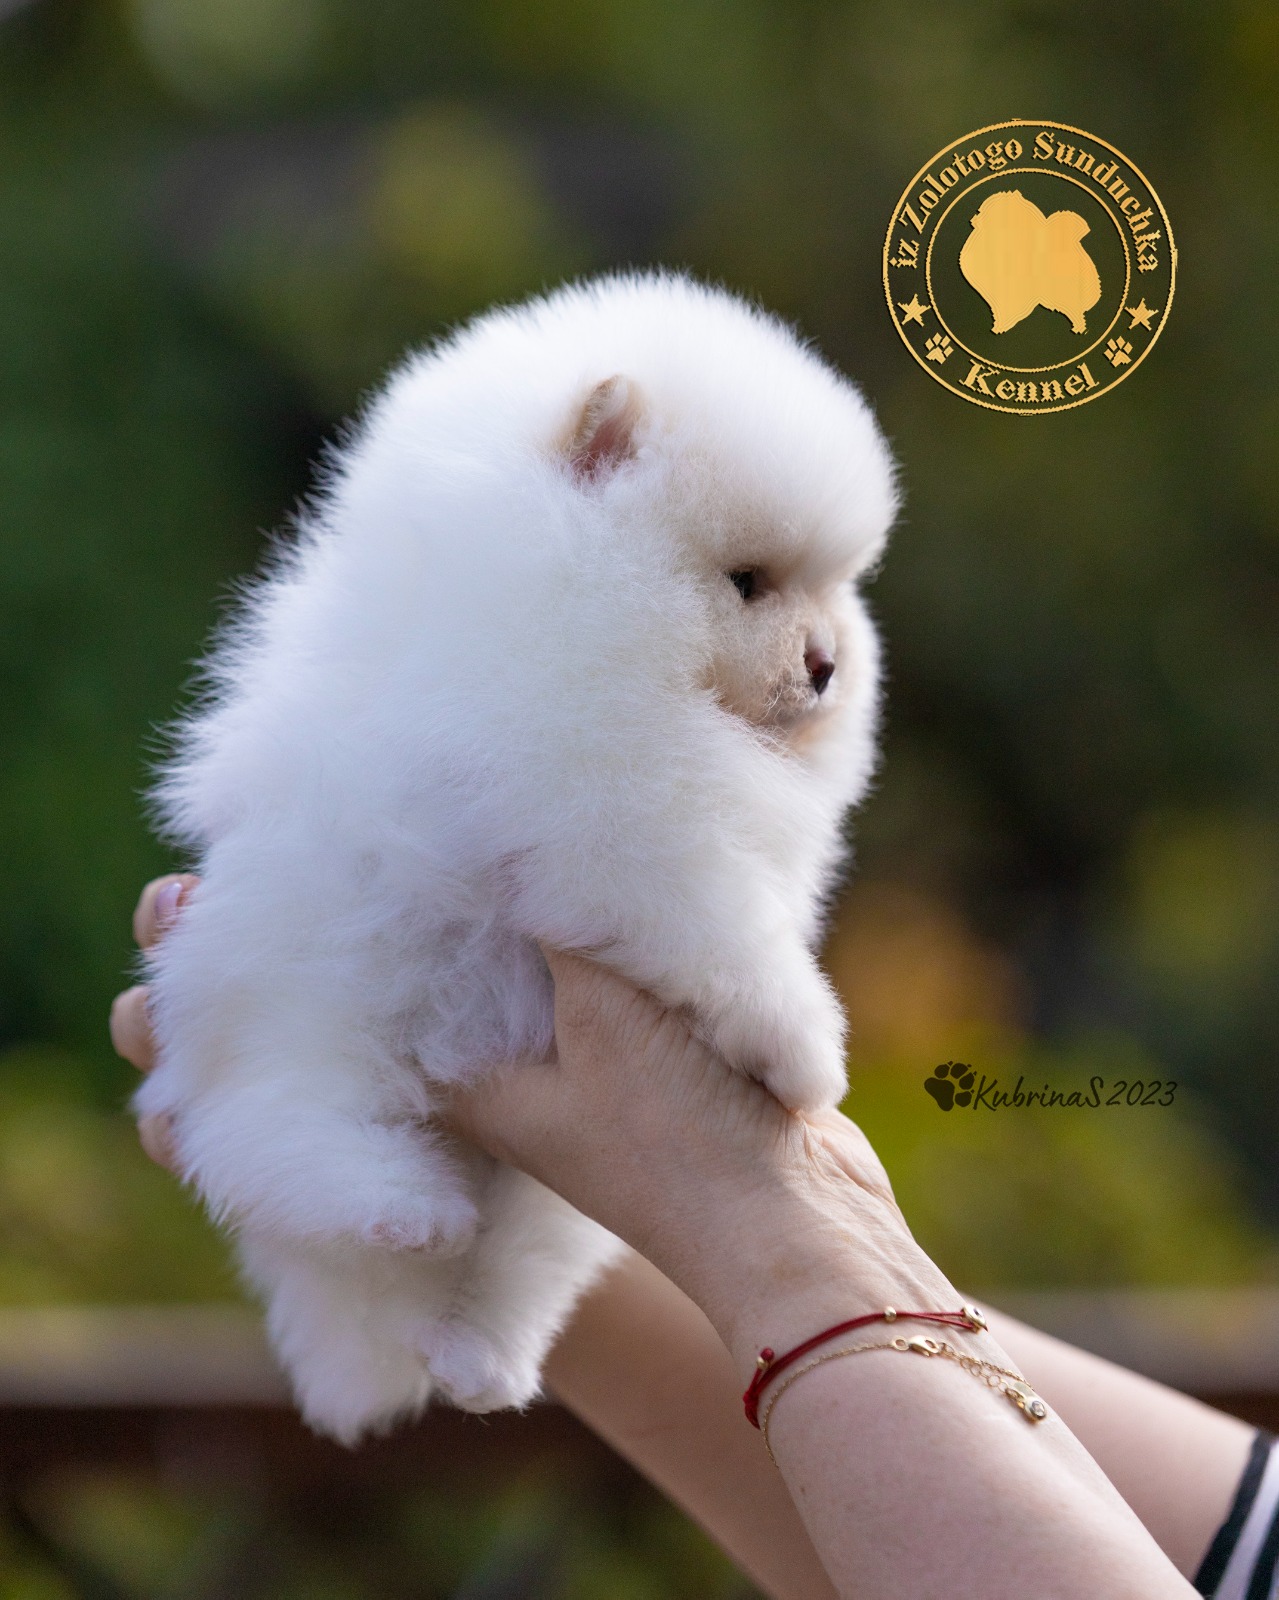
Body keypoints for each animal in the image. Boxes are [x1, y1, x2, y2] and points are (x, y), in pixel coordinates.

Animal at [137, 271, 898, 1441]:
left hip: (557, 1192)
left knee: (519, 1264)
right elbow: (724, 932)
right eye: (748, 581)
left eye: (836, 588)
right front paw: (804, 1050)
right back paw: (398, 1207)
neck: (568, 591)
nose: (826, 664)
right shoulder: (622, 815)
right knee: (271, 1137)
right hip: (300, 1011)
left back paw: (478, 1350)